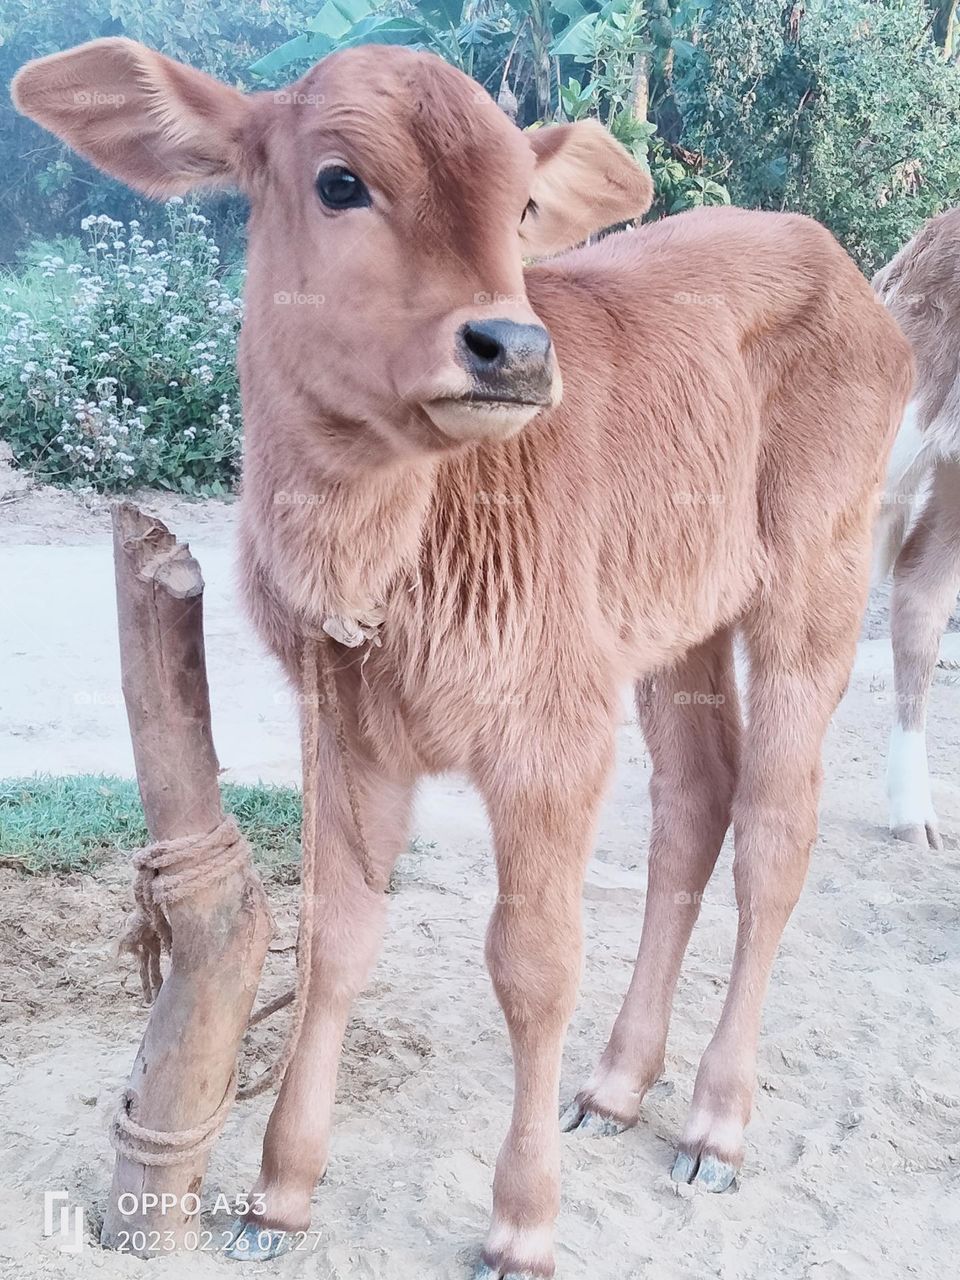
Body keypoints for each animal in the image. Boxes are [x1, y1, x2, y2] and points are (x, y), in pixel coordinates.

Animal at [14, 39, 913, 1279]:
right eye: (340, 181)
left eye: (523, 205)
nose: (516, 347)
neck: (386, 559)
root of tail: (835, 258)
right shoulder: (344, 727)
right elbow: (335, 938)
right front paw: (279, 1194)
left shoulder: (550, 732)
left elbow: (533, 965)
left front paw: (522, 1221)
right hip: (674, 625)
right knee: (695, 802)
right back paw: (618, 1083)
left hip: (813, 584)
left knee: (775, 831)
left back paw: (714, 1122)